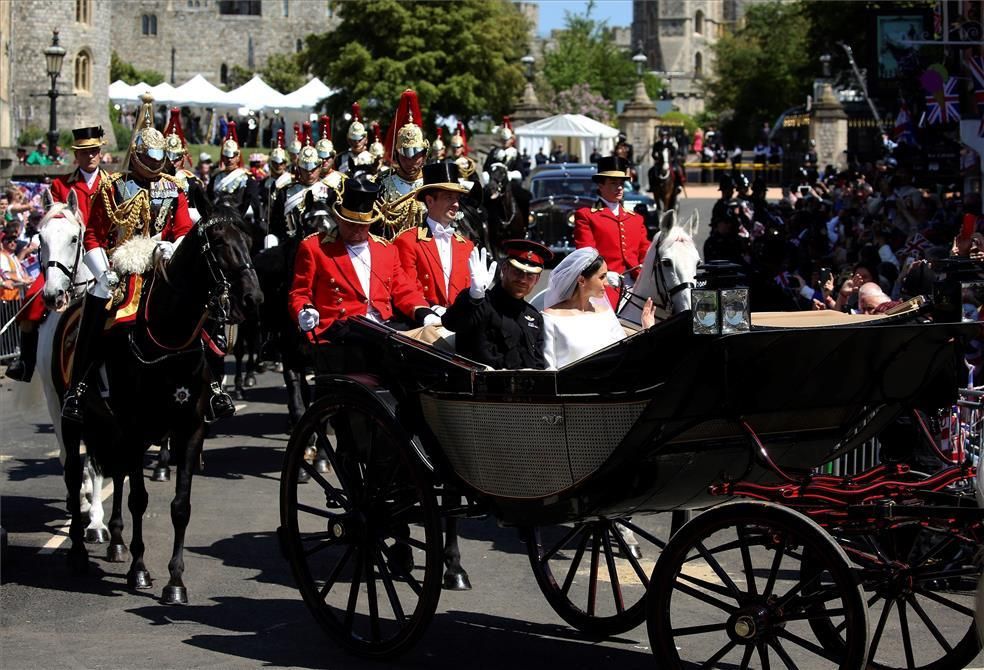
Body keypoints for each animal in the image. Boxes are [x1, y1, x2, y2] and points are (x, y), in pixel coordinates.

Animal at [61, 205, 262, 604]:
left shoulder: (190, 431)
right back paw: (78, 552)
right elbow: (139, 499)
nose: (253, 297)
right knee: (75, 477)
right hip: (74, 424)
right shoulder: (135, 429)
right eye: (219, 243)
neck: (168, 340)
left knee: (114, 473)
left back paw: (116, 542)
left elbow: (180, 507)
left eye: (249, 240)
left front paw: (175, 582)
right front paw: (139, 572)